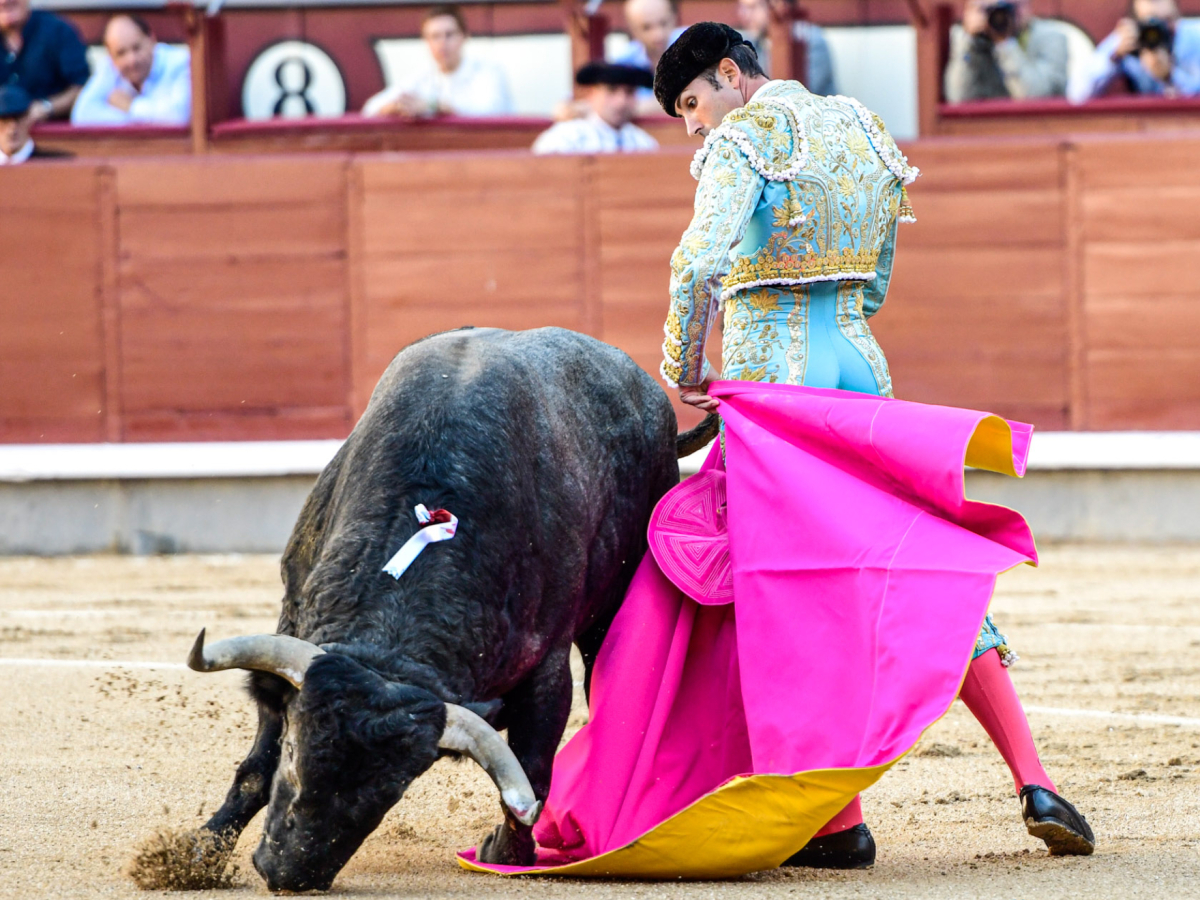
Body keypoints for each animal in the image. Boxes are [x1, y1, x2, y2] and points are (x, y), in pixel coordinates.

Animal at [182, 328, 715, 892]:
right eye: (295, 751)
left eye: (395, 788)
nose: (290, 872)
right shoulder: (292, 617)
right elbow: (256, 763)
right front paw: (197, 853)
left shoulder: (547, 669)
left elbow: (531, 773)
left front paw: (507, 854)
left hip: (607, 614)